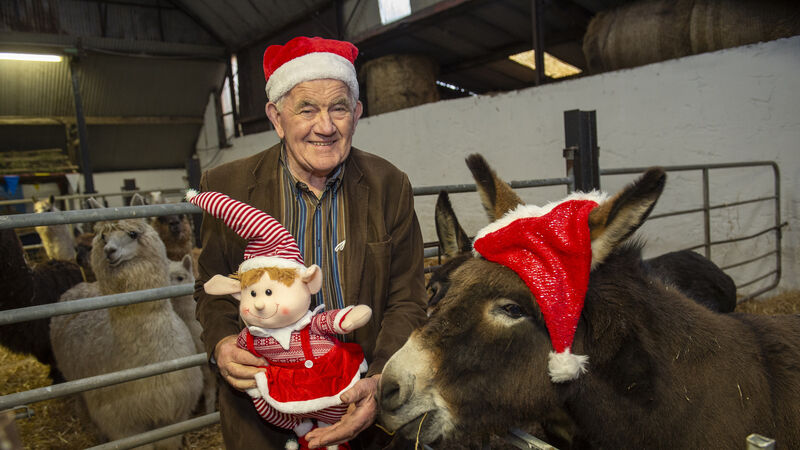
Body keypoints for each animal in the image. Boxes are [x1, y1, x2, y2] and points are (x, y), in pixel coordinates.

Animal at [50, 194, 202, 449]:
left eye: (133, 233)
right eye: (102, 236)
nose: (110, 250)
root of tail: (78, 287)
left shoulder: (173, 414)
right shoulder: (123, 425)